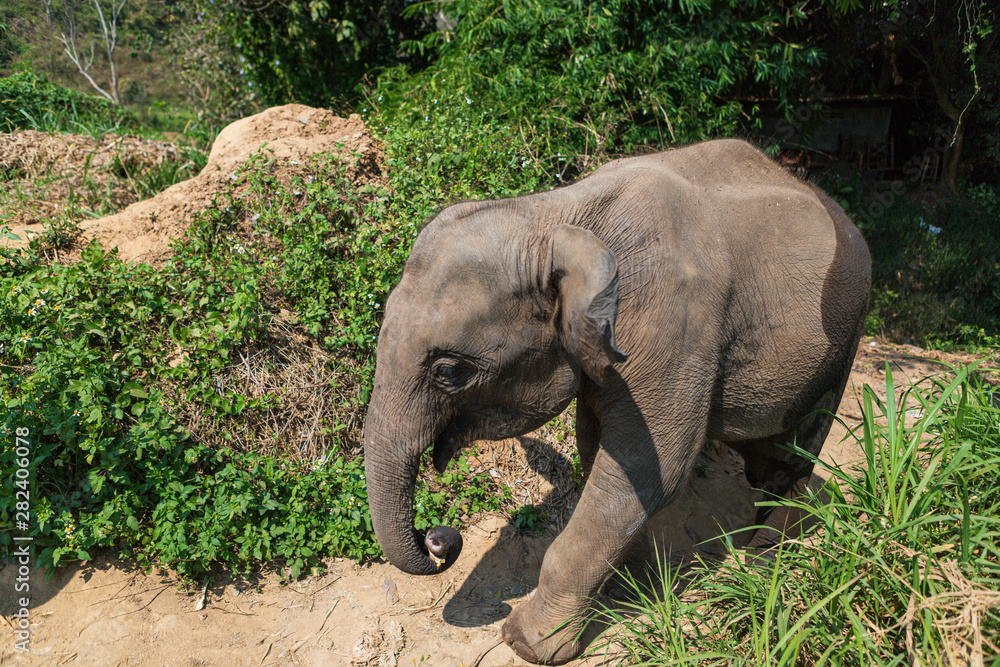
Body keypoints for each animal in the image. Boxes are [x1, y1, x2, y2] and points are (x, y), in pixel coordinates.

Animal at [364, 138, 872, 664]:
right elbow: (598, 448)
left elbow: (656, 464)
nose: (439, 539)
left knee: (796, 455)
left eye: (448, 371)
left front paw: (527, 643)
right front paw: (633, 584)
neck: (557, 214)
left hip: (843, 342)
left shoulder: (675, 321)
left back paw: (761, 560)